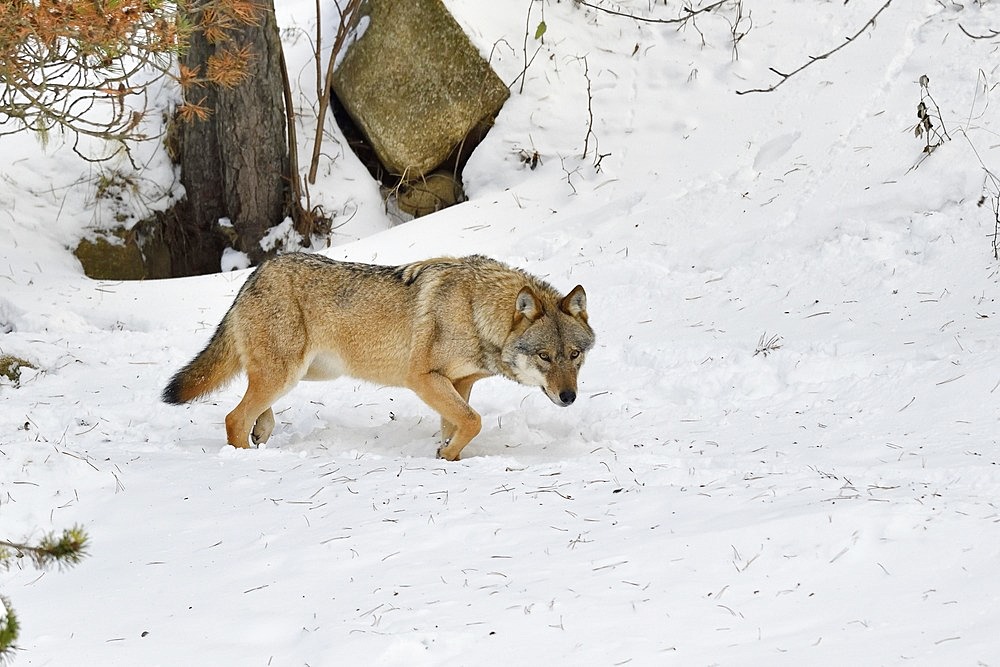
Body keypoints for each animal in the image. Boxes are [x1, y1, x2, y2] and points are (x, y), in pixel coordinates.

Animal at [162, 253, 592, 462]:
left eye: (574, 355)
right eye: (544, 357)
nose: (569, 397)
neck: (475, 310)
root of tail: (256, 273)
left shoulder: (459, 382)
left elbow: (459, 423)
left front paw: (446, 455)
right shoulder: (423, 379)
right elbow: (474, 421)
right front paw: (447, 455)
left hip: (298, 375)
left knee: (253, 412)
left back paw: (261, 435)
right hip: (286, 374)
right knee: (234, 417)